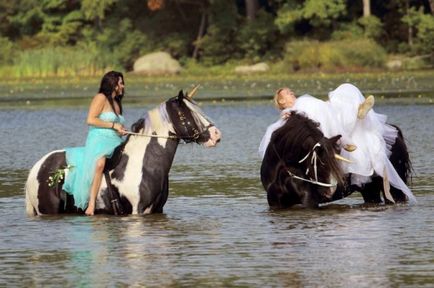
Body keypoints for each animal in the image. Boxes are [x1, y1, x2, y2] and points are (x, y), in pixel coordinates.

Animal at [24, 90, 220, 216]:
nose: (216, 135)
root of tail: (38, 167)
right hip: (47, 210)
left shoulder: (157, 211)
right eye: (185, 115)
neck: (143, 163)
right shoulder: (137, 210)